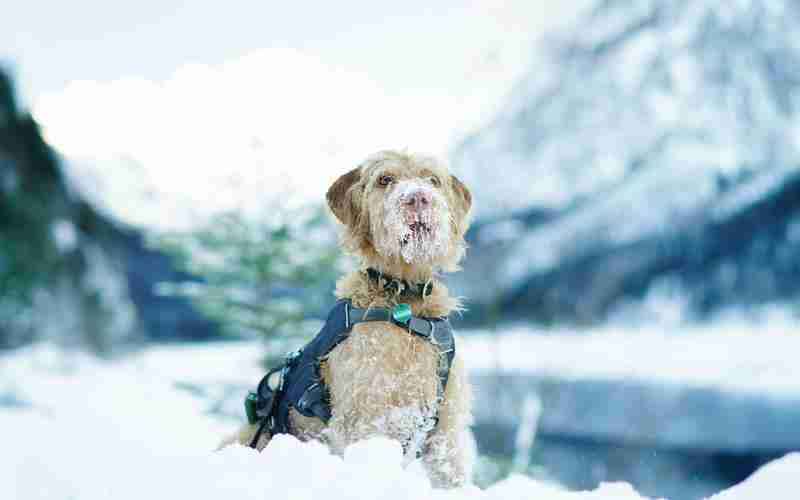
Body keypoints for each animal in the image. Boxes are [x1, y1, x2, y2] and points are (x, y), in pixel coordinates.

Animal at [223, 150, 476, 486]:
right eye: (385, 179)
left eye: (432, 180)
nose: (418, 197)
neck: (403, 301)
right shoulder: (366, 418)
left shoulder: (446, 425)